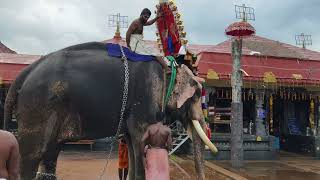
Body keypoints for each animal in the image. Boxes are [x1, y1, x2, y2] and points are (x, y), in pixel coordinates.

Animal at [3, 41, 218, 179]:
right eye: (196, 95)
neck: (168, 67)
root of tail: (24, 74)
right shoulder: (144, 99)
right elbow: (140, 141)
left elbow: (132, 142)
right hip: (38, 107)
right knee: (32, 156)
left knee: (50, 154)